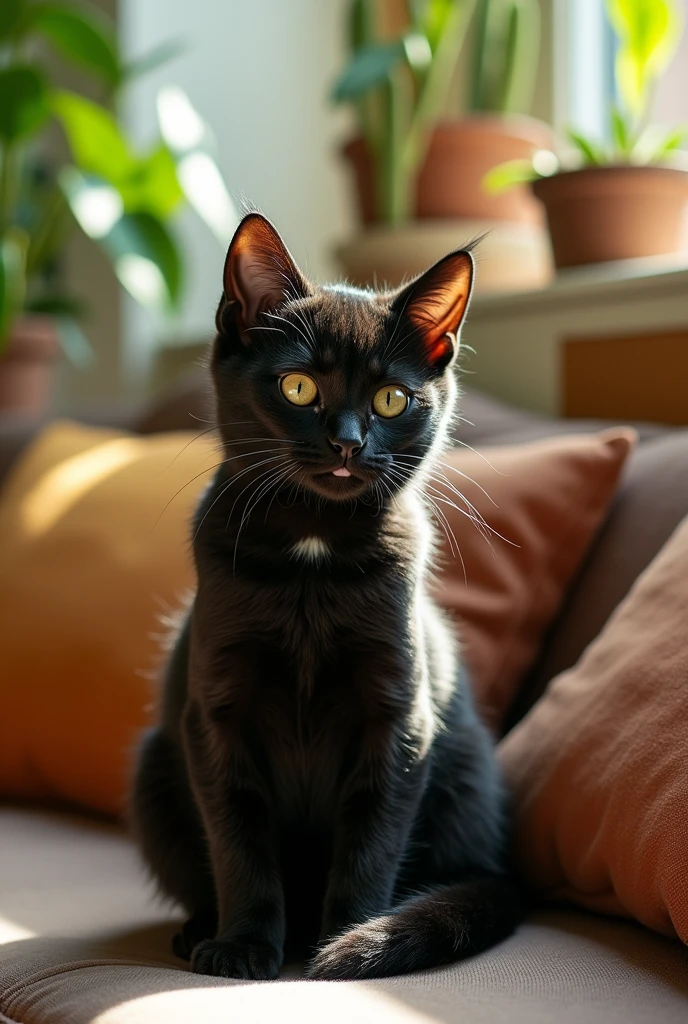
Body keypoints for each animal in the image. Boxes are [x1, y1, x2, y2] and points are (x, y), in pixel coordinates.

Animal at [130, 211, 522, 978]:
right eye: (299, 388)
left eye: (391, 398)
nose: (347, 443)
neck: (313, 553)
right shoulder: (214, 716)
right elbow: (239, 839)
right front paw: (245, 944)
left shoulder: (399, 719)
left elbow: (371, 838)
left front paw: (347, 942)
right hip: (155, 771)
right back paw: (200, 929)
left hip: (465, 774)